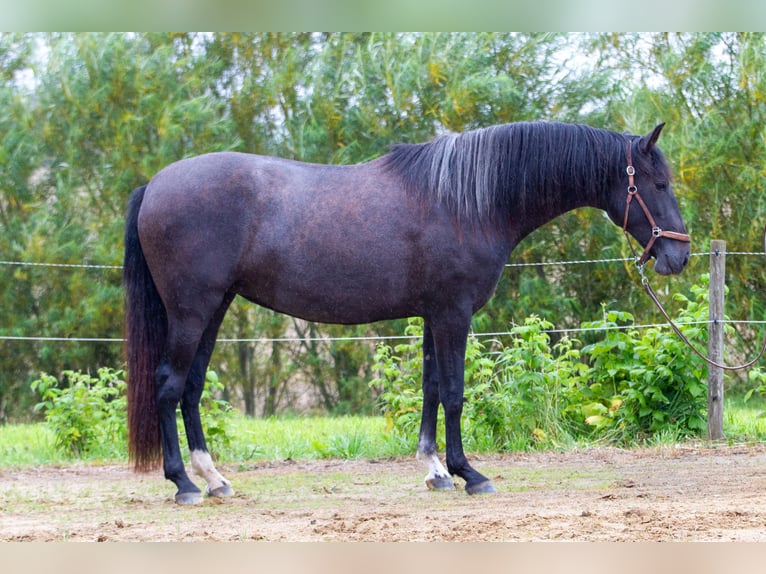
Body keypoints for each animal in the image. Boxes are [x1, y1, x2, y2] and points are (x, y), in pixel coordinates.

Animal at [123, 121, 690, 504]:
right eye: (659, 184)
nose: (678, 257)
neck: (469, 201)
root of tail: (154, 185)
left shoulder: (432, 315)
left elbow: (432, 389)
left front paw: (436, 471)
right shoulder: (453, 313)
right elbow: (456, 393)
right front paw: (470, 474)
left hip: (214, 308)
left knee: (191, 388)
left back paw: (214, 480)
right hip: (192, 310)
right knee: (170, 385)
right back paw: (183, 483)